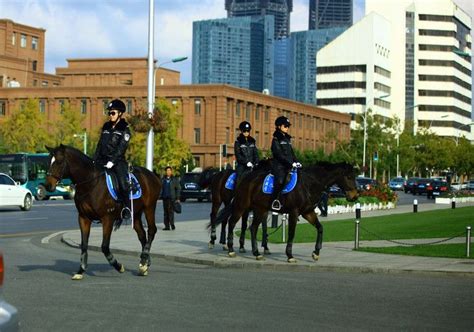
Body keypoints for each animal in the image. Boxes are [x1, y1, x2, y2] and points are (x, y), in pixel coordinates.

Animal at [45, 144, 162, 278]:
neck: (91, 183)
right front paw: (81, 270)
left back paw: (144, 260)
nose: (47, 185)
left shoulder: (107, 219)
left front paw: (118, 266)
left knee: (151, 231)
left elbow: (104, 246)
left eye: (59, 161)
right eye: (48, 161)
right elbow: (84, 244)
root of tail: (153, 175)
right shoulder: (83, 218)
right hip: (136, 213)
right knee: (142, 235)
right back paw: (144, 263)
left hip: (149, 208)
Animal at [209, 163, 358, 262]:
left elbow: (320, 228)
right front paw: (290, 255)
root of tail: (245, 178)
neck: (309, 184)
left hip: (260, 209)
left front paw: (316, 252)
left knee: (253, 227)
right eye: (349, 177)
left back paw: (256, 253)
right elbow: (291, 233)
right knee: (231, 222)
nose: (355, 196)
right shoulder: (294, 212)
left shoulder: (308, 212)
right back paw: (229, 249)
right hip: (240, 205)